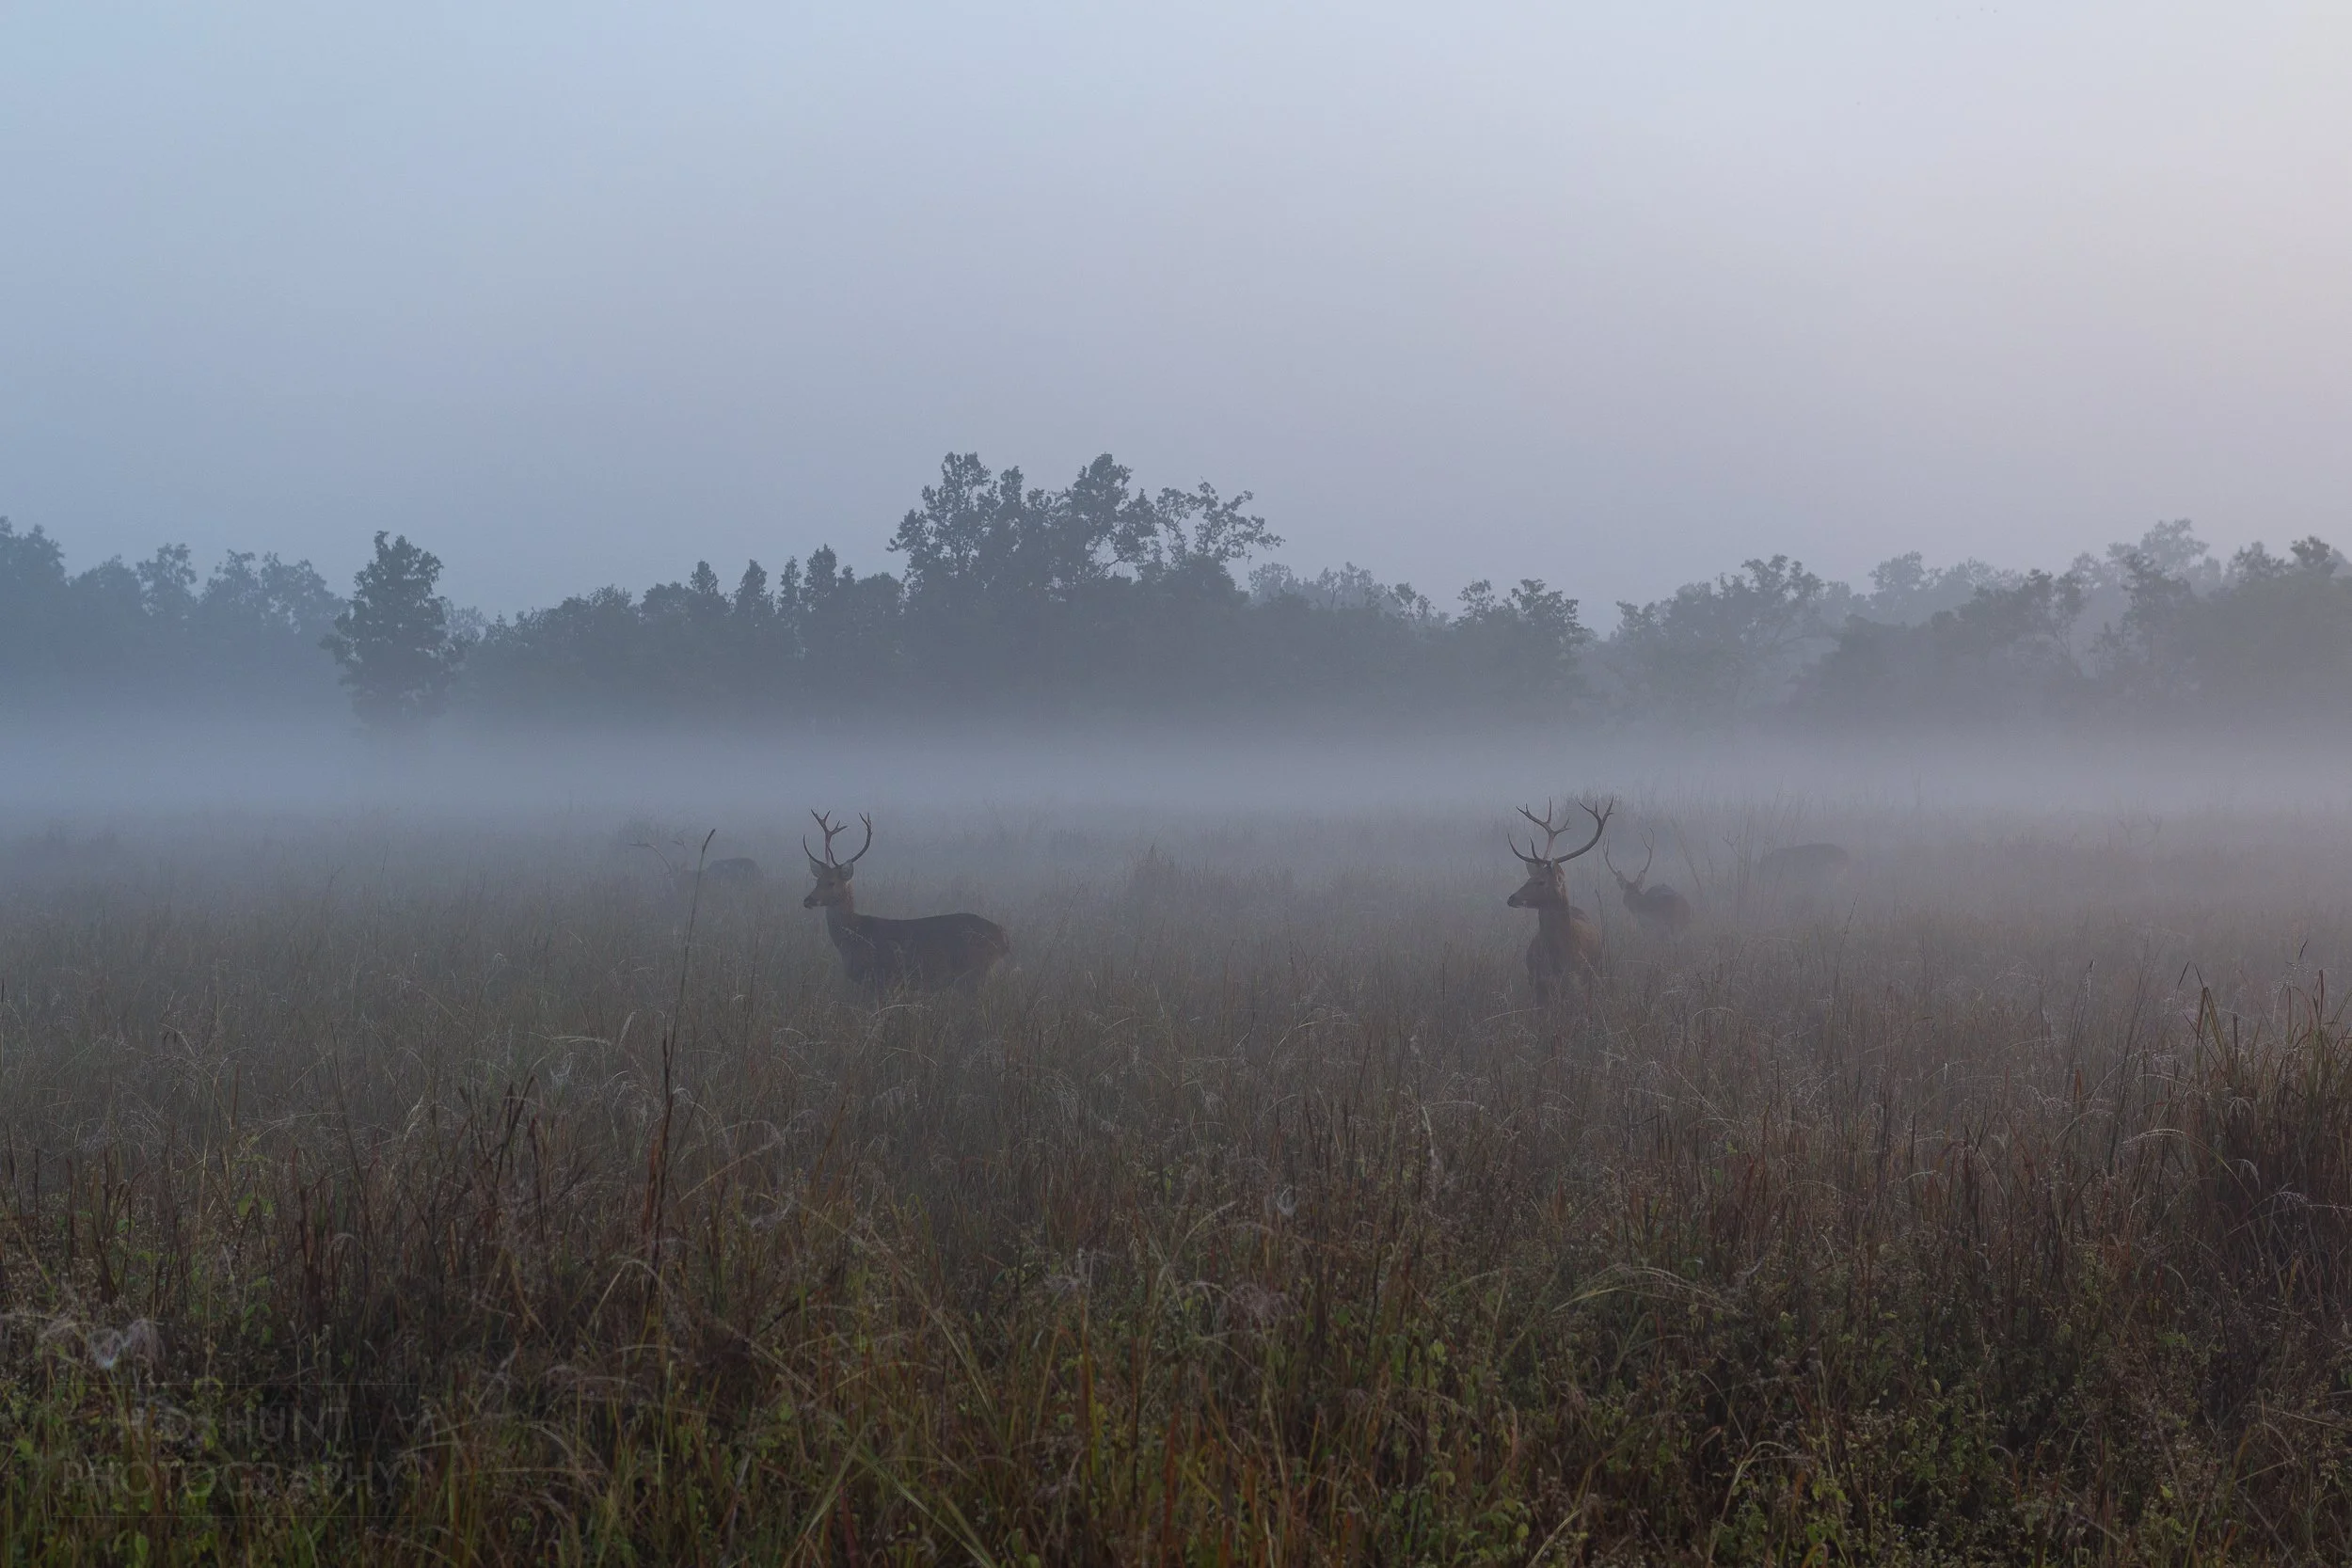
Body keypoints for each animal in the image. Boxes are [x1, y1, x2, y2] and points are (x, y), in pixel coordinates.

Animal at [802, 811, 1010, 996]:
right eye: (817, 881)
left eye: (831, 882)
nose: (808, 900)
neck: (855, 936)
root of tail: (1002, 938)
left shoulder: (880, 976)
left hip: (975, 972)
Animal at [1506, 796, 1614, 1002]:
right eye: (1528, 879)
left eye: (1541, 882)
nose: (1511, 898)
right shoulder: (1537, 982)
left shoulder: (1579, 983)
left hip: (1598, 970)